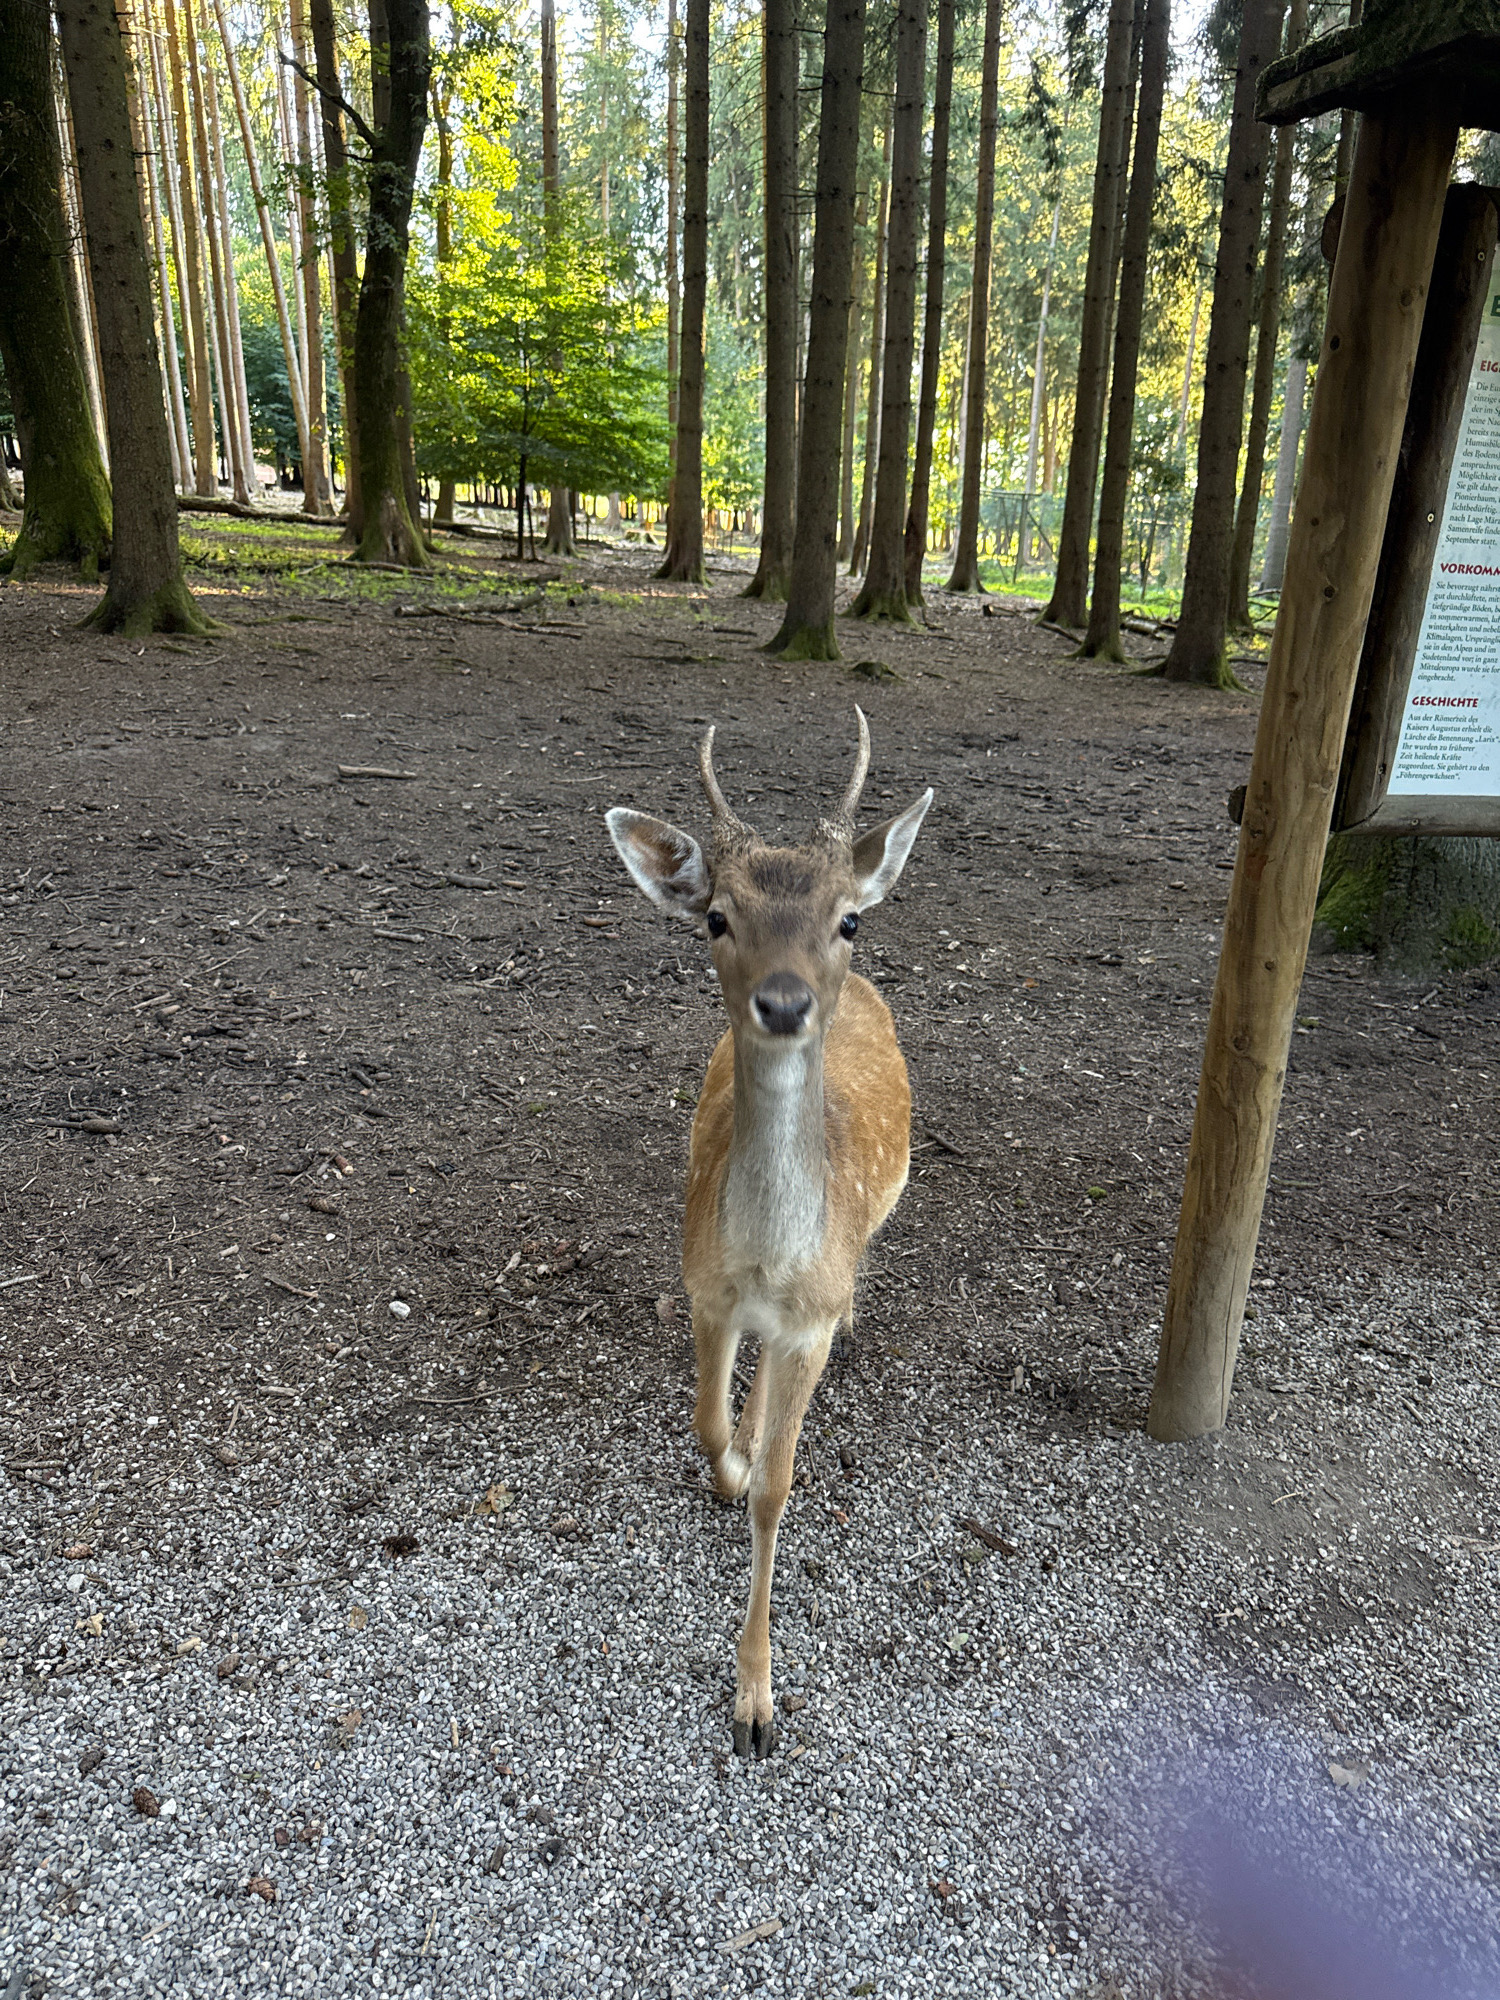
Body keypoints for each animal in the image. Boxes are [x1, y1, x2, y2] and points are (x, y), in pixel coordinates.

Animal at [605, 710, 932, 1758]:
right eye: (716, 916)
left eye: (848, 918)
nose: (786, 1001)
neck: (768, 1260)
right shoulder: (703, 1288)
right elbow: (709, 1426)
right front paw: (730, 1462)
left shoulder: (809, 1326)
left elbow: (780, 1489)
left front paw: (756, 1701)